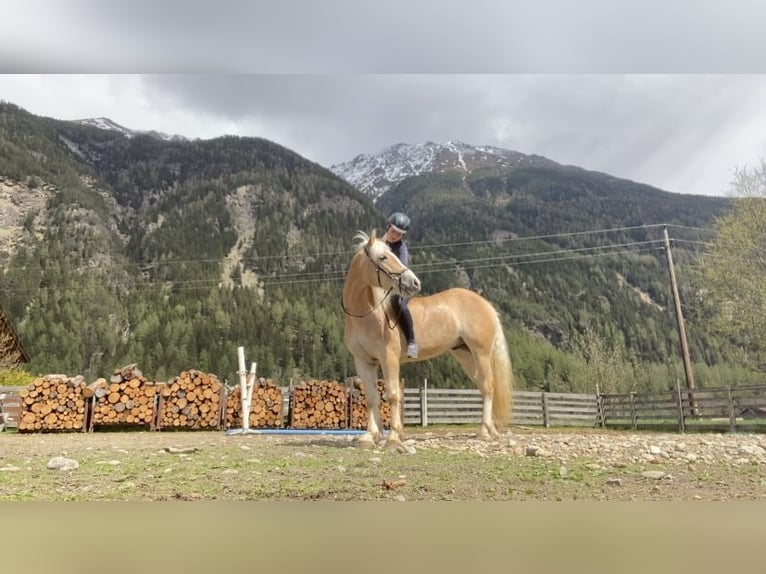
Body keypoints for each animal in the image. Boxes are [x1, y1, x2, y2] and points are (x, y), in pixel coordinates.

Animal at [344, 232, 516, 452]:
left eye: (394, 255)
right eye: (382, 257)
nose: (414, 283)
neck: (367, 314)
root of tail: (486, 304)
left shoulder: (388, 358)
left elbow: (392, 395)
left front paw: (393, 438)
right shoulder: (364, 361)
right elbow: (372, 398)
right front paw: (369, 437)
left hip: (482, 353)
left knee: (489, 386)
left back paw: (485, 431)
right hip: (465, 354)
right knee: (483, 386)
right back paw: (492, 430)